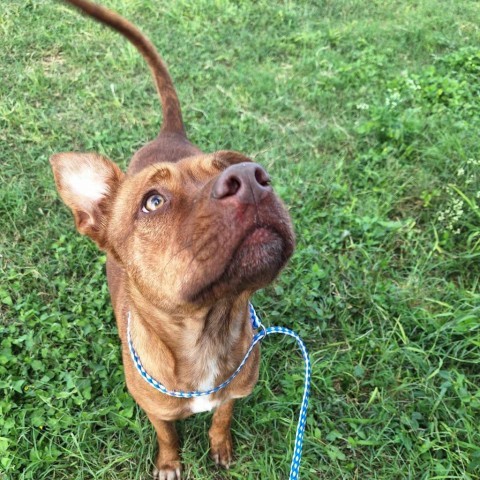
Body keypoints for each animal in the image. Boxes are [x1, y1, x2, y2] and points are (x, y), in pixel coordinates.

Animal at [50, 1, 294, 478]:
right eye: (153, 201)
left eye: (231, 166)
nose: (250, 178)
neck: (207, 333)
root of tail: (169, 134)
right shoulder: (156, 411)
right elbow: (167, 435)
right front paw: (169, 463)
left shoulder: (236, 393)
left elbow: (222, 417)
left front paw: (220, 445)